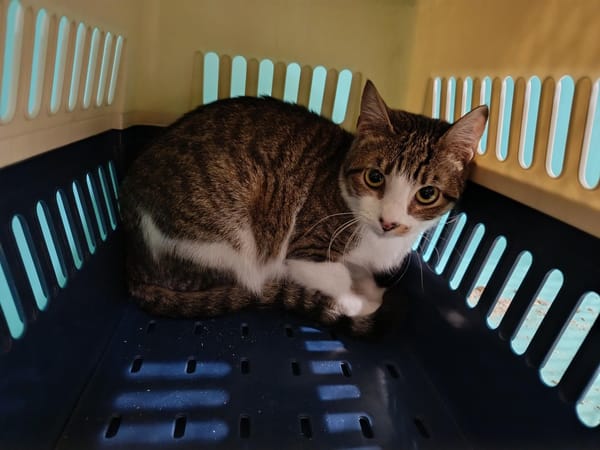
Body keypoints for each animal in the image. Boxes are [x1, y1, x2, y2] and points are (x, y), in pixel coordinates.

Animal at [120, 80, 488, 334]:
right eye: (374, 177)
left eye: (427, 193)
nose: (389, 222)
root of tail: (133, 263)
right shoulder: (303, 250)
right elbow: (337, 275)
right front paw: (362, 302)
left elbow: (359, 271)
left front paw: (369, 287)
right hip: (229, 241)